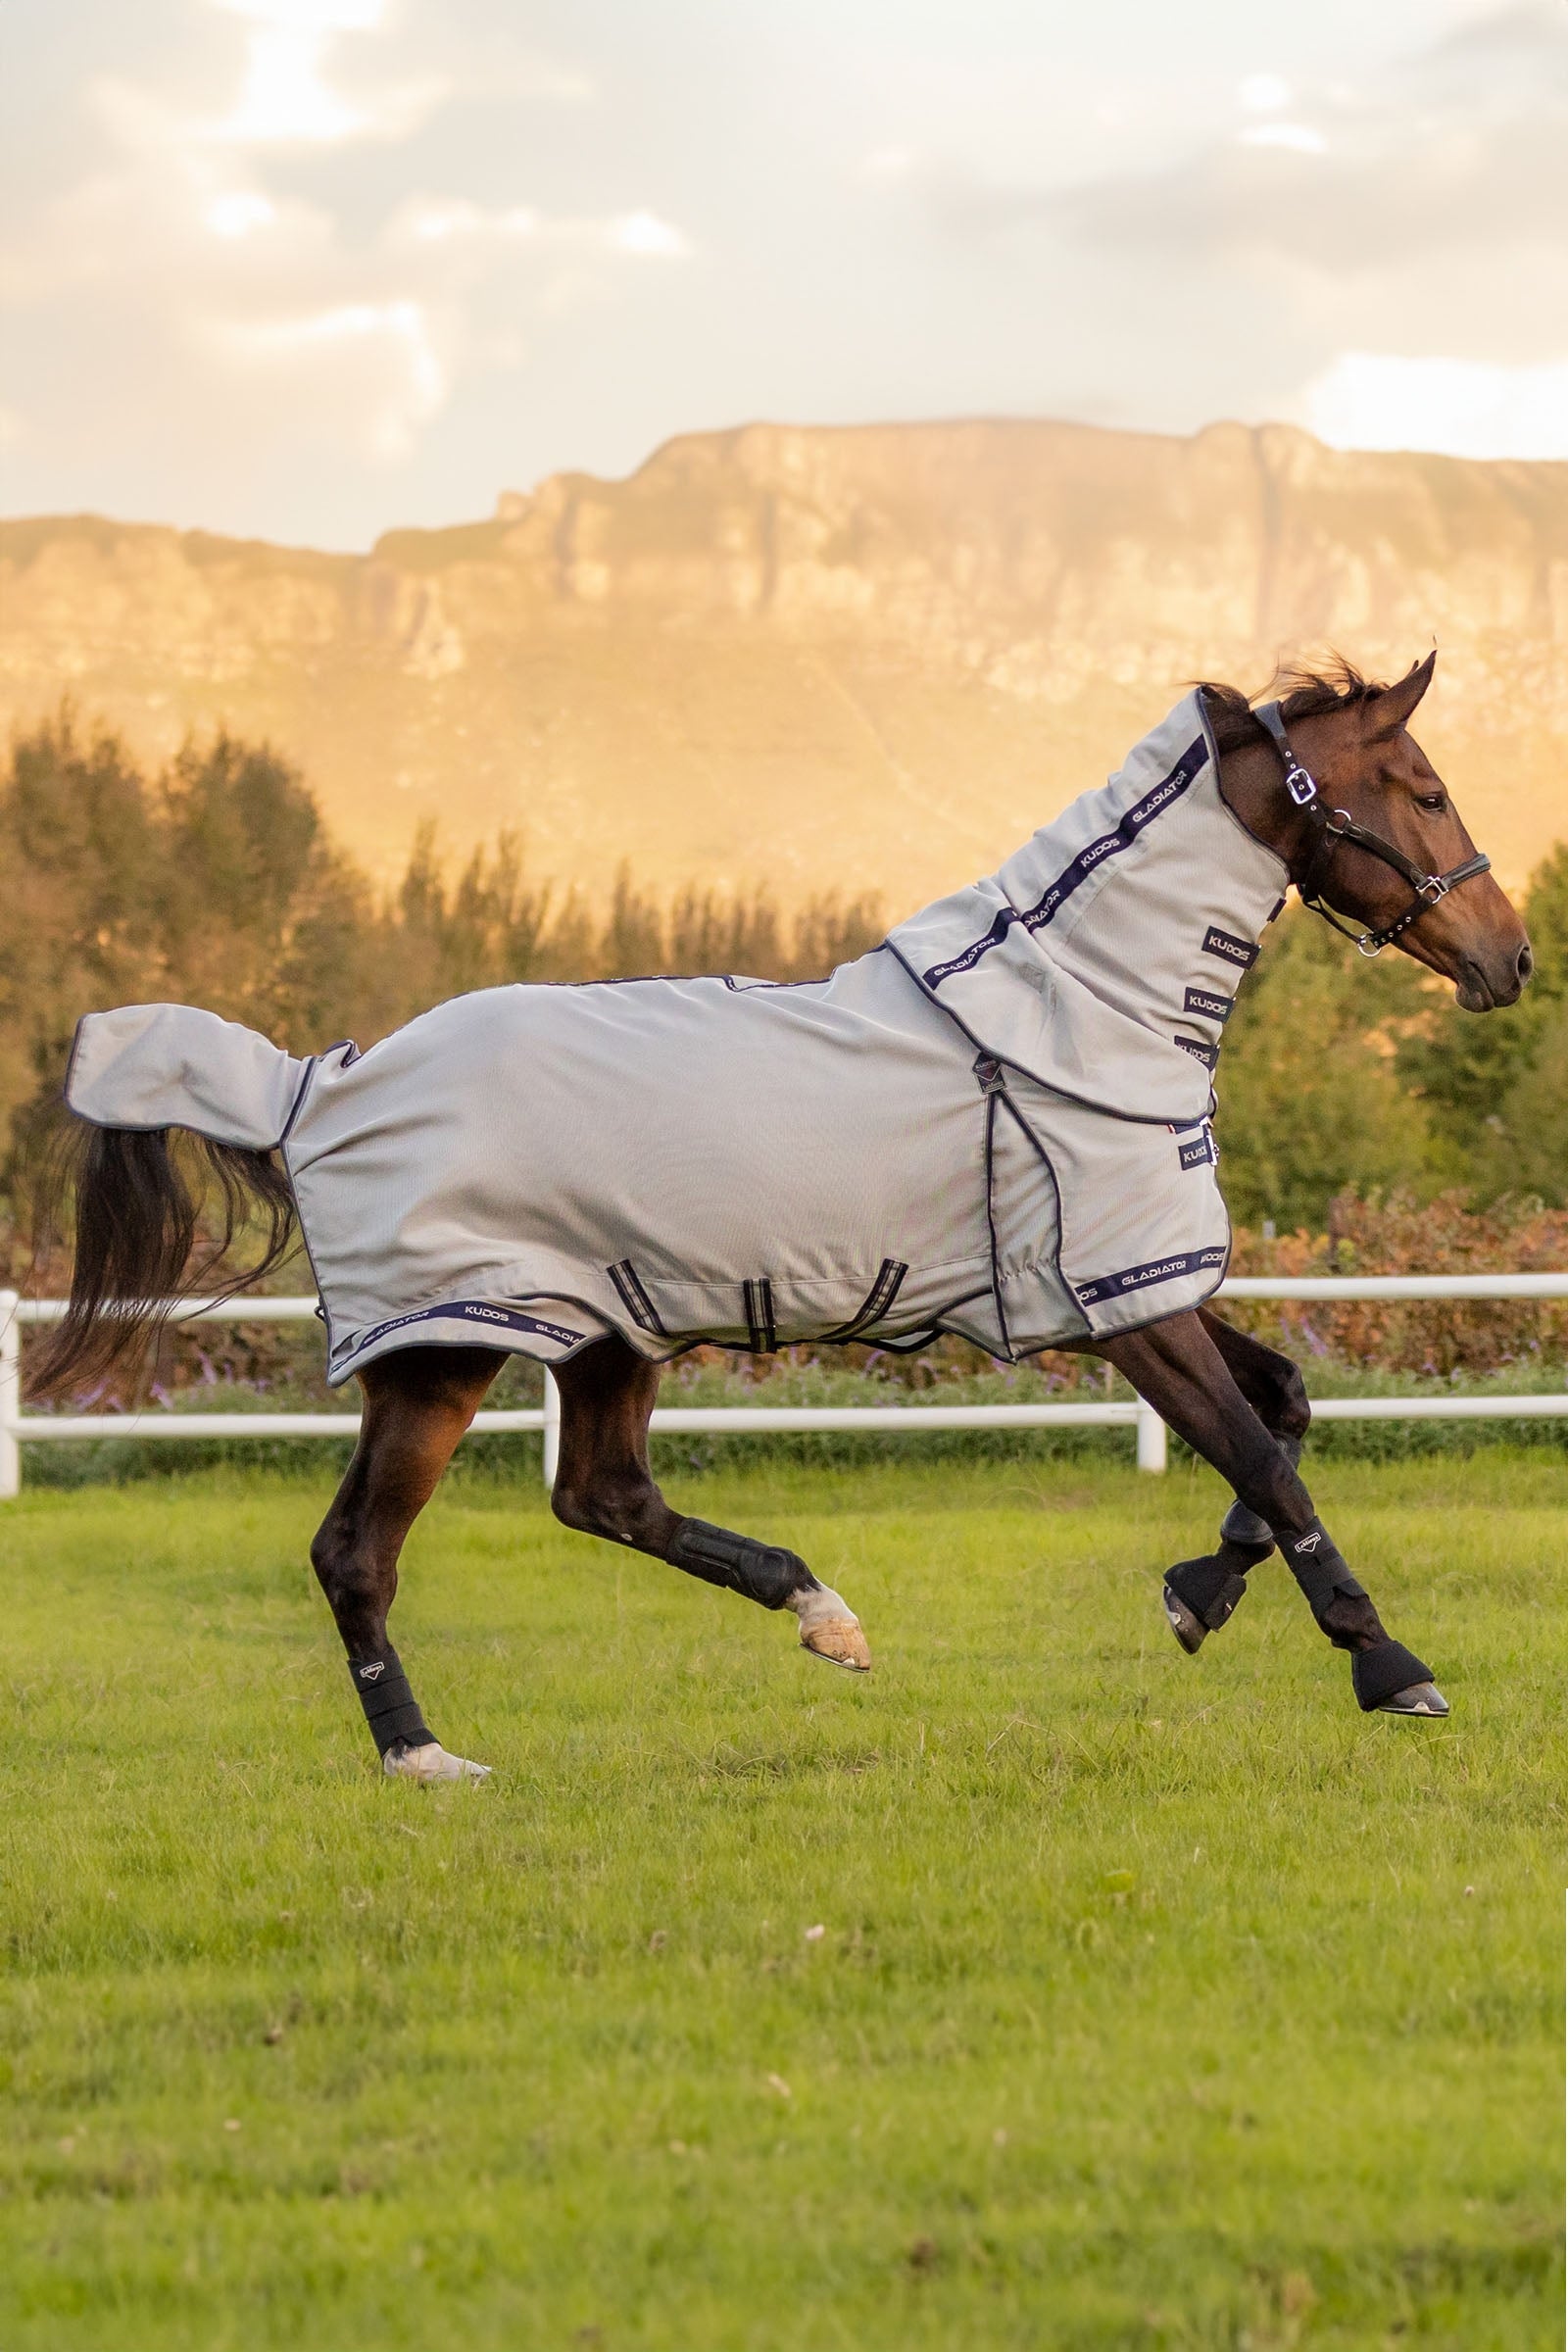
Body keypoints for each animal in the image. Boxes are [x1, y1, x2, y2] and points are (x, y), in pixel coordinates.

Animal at [31, 651, 1531, 1781]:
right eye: (1425, 788)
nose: (1509, 957)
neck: (1070, 1017)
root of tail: (313, 1083)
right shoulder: (1125, 1308)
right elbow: (1264, 1457)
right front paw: (1390, 1666)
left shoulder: (1139, 1280)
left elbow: (1281, 1411)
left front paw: (1194, 1599)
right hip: (448, 1348)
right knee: (359, 1553)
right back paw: (423, 1755)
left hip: (610, 1331)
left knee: (603, 1496)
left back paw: (825, 1619)